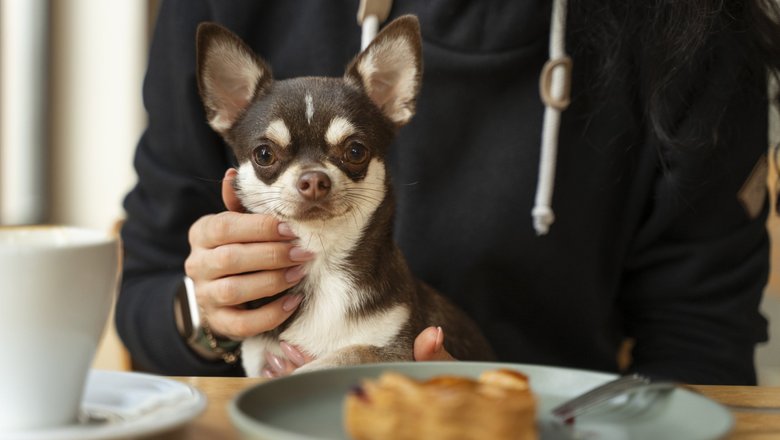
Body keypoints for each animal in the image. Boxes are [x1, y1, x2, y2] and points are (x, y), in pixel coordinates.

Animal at [197, 15, 494, 376]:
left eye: (355, 151)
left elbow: (348, 353)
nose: (314, 180)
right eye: (264, 154)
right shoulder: (259, 359)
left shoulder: (397, 350)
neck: (322, 258)